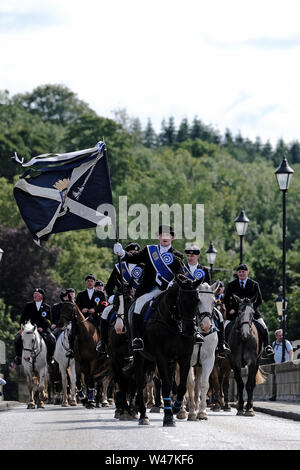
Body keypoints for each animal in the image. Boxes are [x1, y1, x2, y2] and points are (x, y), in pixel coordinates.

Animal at [133, 276, 202, 426]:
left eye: (197, 300)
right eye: (182, 300)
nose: (190, 330)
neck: (175, 323)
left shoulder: (184, 357)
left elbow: (181, 385)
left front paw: (176, 408)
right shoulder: (161, 357)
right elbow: (165, 385)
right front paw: (169, 417)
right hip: (139, 357)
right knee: (140, 382)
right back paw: (143, 416)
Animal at [177, 280, 219, 420]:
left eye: (213, 302)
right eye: (198, 301)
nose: (206, 326)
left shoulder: (208, 360)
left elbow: (204, 384)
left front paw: (202, 412)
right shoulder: (187, 360)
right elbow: (188, 383)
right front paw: (191, 413)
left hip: (199, 365)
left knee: (197, 385)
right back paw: (182, 410)